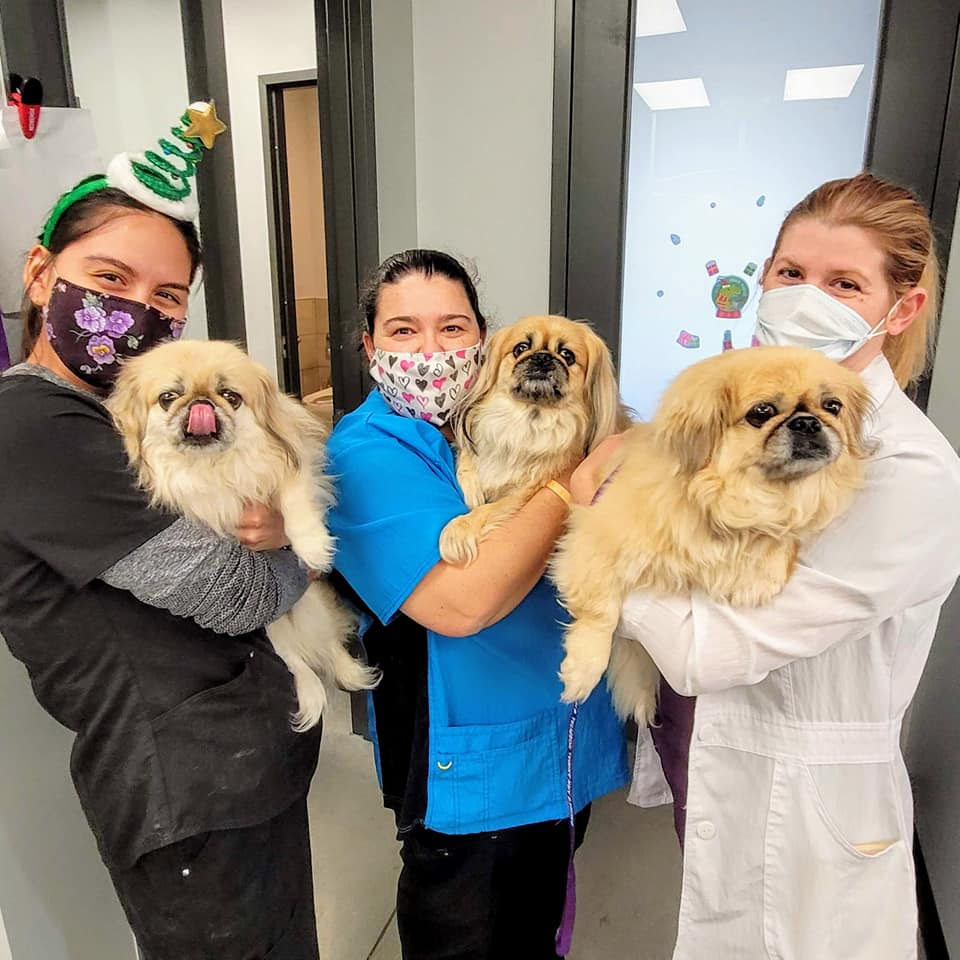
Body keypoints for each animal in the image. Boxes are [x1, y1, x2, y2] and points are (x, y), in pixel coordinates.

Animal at [107, 339, 379, 731]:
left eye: (230, 397)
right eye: (168, 397)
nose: (201, 405)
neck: (215, 467)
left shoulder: (290, 465)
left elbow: (294, 498)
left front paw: (313, 547)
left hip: (311, 601)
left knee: (325, 641)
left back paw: (350, 671)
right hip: (270, 623)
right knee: (293, 656)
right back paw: (311, 690)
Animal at [439, 316, 628, 566]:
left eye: (567, 355)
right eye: (521, 348)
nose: (543, 357)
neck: (529, 419)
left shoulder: (523, 494)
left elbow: (490, 510)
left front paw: (458, 530)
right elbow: (467, 455)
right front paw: (472, 488)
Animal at [552, 345, 871, 723]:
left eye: (833, 406)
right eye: (762, 412)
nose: (808, 422)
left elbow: (776, 543)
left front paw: (764, 571)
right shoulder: (596, 540)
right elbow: (600, 614)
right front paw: (582, 672)